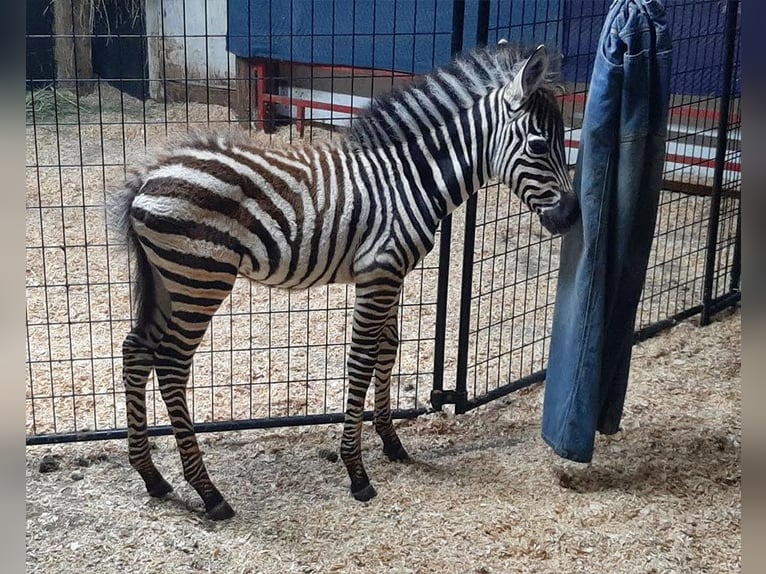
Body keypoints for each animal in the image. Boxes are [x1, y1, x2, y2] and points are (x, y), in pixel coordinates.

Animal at [106, 44, 576, 520]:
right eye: (539, 145)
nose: (570, 217)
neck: (409, 180)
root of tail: (148, 176)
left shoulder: (390, 273)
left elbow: (388, 350)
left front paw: (391, 442)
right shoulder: (379, 272)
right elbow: (362, 361)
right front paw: (357, 471)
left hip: (168, 279)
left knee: (135, 350)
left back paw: (151, 476)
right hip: (200, 278)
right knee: (170, 363)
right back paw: (208, 492)